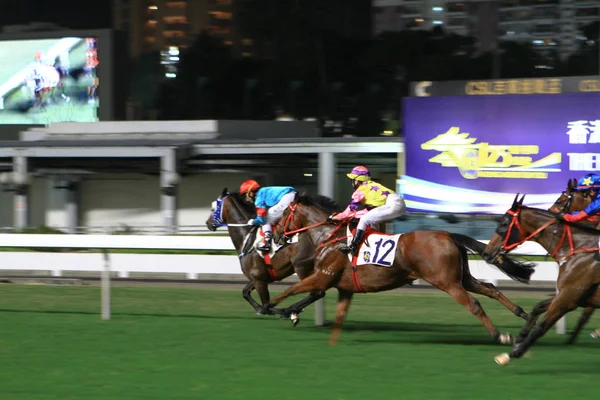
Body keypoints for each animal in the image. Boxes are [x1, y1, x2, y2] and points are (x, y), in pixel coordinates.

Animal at [205, 188, 338, 322]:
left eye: (213, 208)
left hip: (302, 266)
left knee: (317, 292)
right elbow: (246, 293)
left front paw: (284, 311)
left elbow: (266, 306)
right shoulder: (260, 277)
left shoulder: (258, 279)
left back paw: (292, 309)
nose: (208, 223)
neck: (247, 237)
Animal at [268, 194, 536, 344]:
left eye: (283, 213)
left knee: (474, 304)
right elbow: (310, 294)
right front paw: (289, 312)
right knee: (490, 288)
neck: (329, 236)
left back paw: (499, 335)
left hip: (447, 282)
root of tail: (449, 234)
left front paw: (270, 307)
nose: (276, 235)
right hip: (462, 277)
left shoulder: (323, 277)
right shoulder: (338, 285)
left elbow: (291, 289)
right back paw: (523, 314)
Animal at [482, 195, 600, 366]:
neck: (579, 250)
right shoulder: (571, 296)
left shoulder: (568, 298)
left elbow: (541, 328)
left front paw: (512, 354)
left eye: (503, 223)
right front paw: (519, 338)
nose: (486, 252)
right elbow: (537, 307)